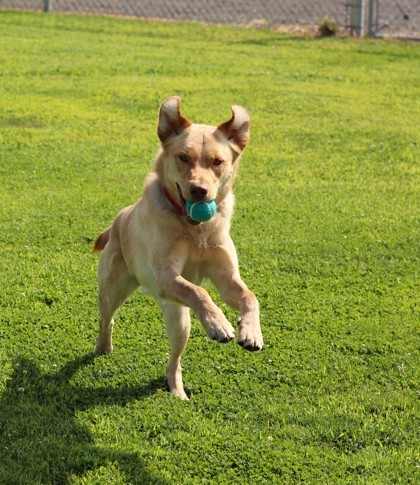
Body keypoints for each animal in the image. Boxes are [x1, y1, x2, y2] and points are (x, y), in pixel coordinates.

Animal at [93, 96, 262, 398]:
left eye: (218, 161)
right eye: (183, 157)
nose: (199, 190)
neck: (195, 230)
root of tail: (118, 219)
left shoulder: (227, 278)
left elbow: (249, 297)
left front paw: (251, 331)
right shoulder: (166, 276)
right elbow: (198, 291)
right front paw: (218, 323)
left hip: (178, 318)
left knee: (173, 362)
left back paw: (177, 390)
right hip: (116, 288)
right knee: (107, 319)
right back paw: (103, 347)